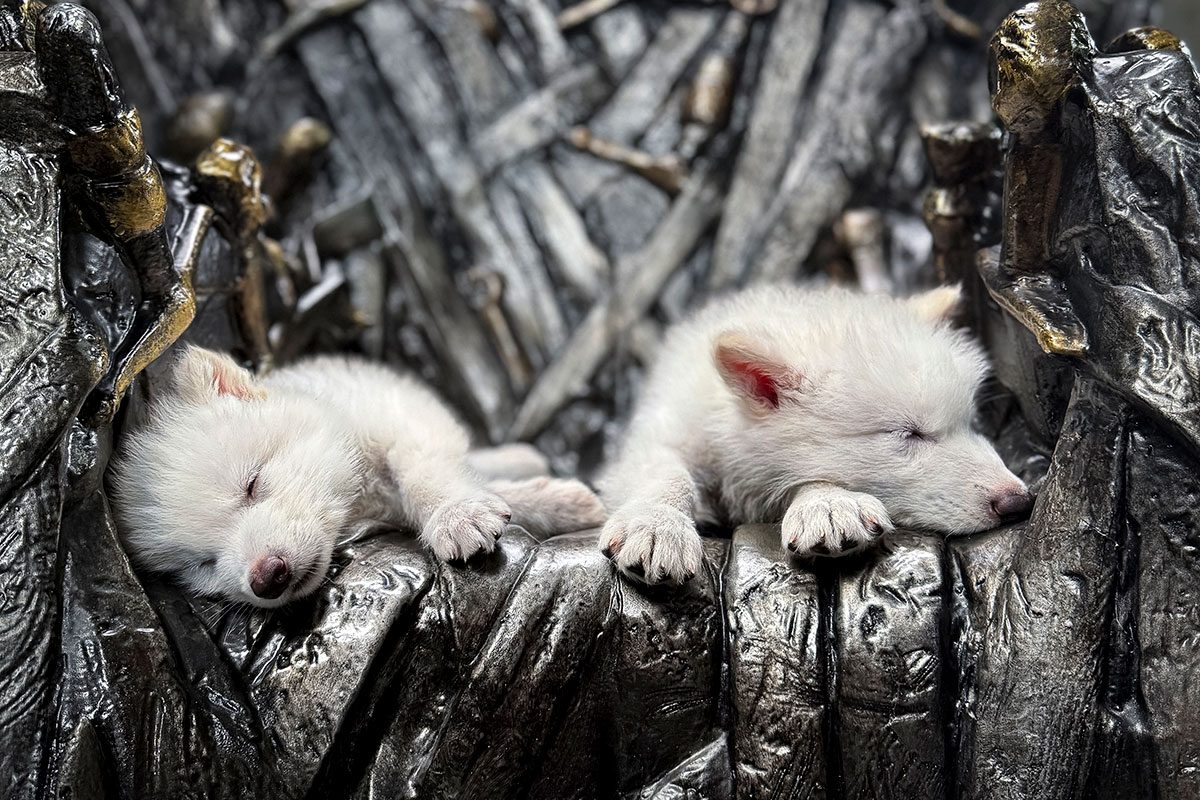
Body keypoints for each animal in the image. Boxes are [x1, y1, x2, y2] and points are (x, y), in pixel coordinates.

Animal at [111, 347, 606, 607]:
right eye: (203, 564)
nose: (265, 577)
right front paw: (558, 504)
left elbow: (425, 472)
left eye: (252, 484)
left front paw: (456, 514)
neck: (357, 499)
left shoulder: (403, 421)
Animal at [599, 283, 1032, 583]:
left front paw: (827, 504)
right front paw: (656, 525)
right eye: (907, 433)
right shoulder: (664, 431)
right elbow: (665, 471)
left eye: (969, 424)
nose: (1019, 502)